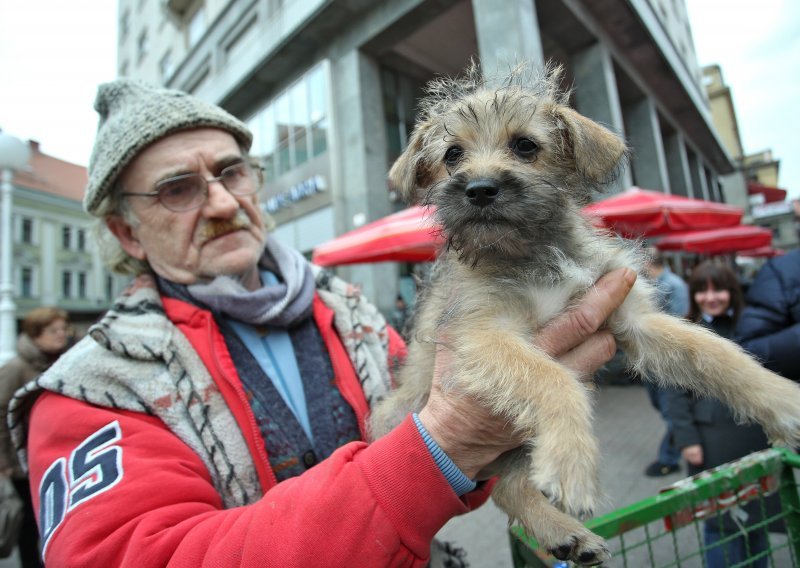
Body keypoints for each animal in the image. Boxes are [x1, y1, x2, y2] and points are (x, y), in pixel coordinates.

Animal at [370, 64, 800, 564]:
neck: (535, 251)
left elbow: (718, 352)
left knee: (508, 486)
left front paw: (784, 401)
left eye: (525, 146)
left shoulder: (633, 318)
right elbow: (552, 377)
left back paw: (563, 534)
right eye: (453, 155)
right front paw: (572, 460)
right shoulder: (483, 333)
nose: (479, 190)